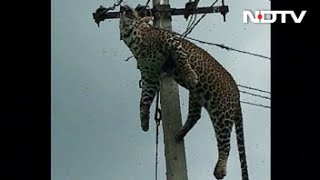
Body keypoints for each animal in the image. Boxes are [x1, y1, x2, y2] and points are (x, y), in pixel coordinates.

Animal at [119, 4, 249, 179]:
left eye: (132, 10)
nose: (123, 6)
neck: (135, 40)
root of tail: (237, 93)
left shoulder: (171, 41)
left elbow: (182, 59)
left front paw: (191, 76)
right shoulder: (149, 77)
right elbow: (143, 101)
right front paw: (144, 122)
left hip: (222, 113)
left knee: (225, 144)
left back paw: (220, 170)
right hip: (197, 96)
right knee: (195, 116)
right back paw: (179, 134)